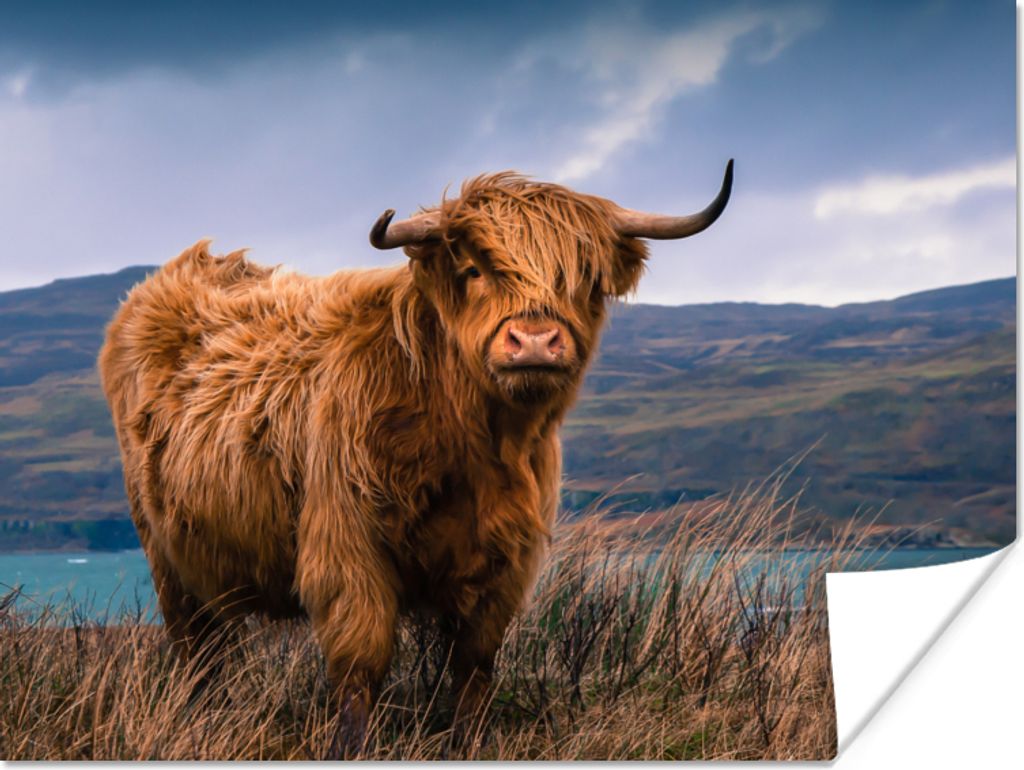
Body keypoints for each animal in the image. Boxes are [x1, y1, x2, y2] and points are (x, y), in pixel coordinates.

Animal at [98, 162, 733, 752]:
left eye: (583, 279)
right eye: (474, 270)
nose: (533, 341)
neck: (473, 444)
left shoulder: (506, 561)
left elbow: (474, 664)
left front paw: (469, 741)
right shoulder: (347, 548)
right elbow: (361, 661)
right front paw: (352, 747)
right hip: (166, 556)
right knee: (196, 650)